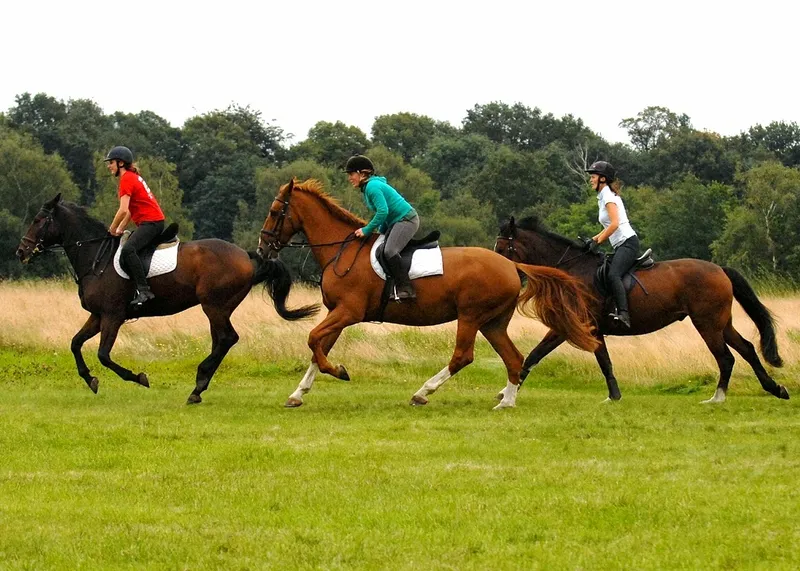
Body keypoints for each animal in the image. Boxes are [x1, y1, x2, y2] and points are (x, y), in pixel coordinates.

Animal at [15, 194, 316, 404]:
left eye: (38, 220)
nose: (21, 251)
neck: (96, 258)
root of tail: (246, 254)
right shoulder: (98, 316)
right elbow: (75, 344)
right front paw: (90, 380)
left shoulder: (113, 316)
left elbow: (103, 355)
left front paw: (138, 377)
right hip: (218, 309)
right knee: (221, 341)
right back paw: (199, 386)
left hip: (214, 306)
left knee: (227, 338)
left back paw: (198, 384)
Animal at [256, 181, 600, 408]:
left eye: (274, 211)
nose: (262, 249)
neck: (342, 251)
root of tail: (512, 264)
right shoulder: (336, 313)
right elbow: (318, 348)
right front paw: (297, 394)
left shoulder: (348, 313)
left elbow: (314, 341)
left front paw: (340, 372)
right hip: (493, 323)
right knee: (514, 358)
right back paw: (506, 402)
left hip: (470, 316)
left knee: (463, 356)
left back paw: (422, 393)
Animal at [494, 217, 788, 404]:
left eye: (503, 248)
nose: (499, 270)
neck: (570, 271)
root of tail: (720, 269)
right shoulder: (572, 328)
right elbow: (536, 356)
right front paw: (507, 392)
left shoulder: (581, 326)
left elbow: (600, 361)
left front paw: (613, 397)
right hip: (720, 323)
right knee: (747, 348)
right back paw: (776, 389)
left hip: (707, 324)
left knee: (726, 357)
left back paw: (717, 398)